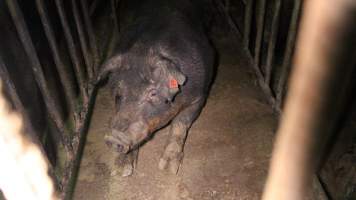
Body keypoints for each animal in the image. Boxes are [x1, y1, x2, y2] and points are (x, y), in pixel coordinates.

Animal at [96, 0, 214, 175]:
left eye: (152, 93)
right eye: (118, 94)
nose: (113, 137)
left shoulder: (199, 96)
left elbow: (180, 124)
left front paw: (168, 169)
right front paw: (121, 171)